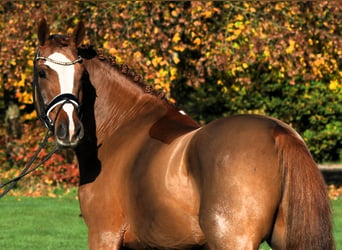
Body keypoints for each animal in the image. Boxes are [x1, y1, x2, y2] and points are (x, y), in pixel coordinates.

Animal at [33, 19, 332, 250]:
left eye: (82, 75)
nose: (69, 128)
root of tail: (278, 133)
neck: (122, 127)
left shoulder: (103, 236)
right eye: (42, 72)